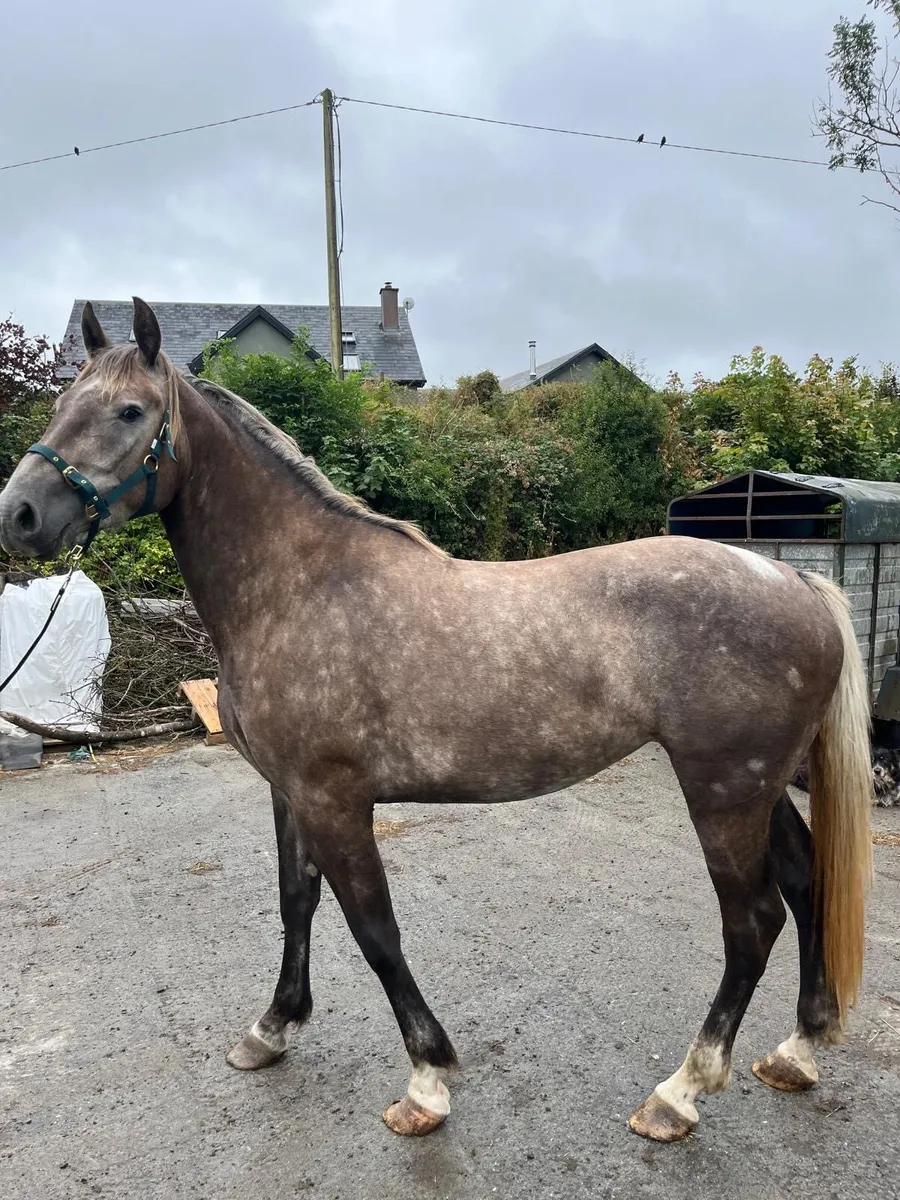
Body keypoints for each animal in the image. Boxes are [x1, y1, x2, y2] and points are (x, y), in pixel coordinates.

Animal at [0, 298, 873, 1143]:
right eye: (61, 403)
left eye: (129, 411)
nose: (19, 514)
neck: (298, 587)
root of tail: (797, 583)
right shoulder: (290, 793)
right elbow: (296, 903)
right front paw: (273, 1028)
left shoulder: (334, 800)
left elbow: (375, 930)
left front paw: (425, 1082)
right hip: (757, 790)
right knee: (805, 883)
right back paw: (796, 1049)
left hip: (723, 794)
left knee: (751, 924)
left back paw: (680, 1093)